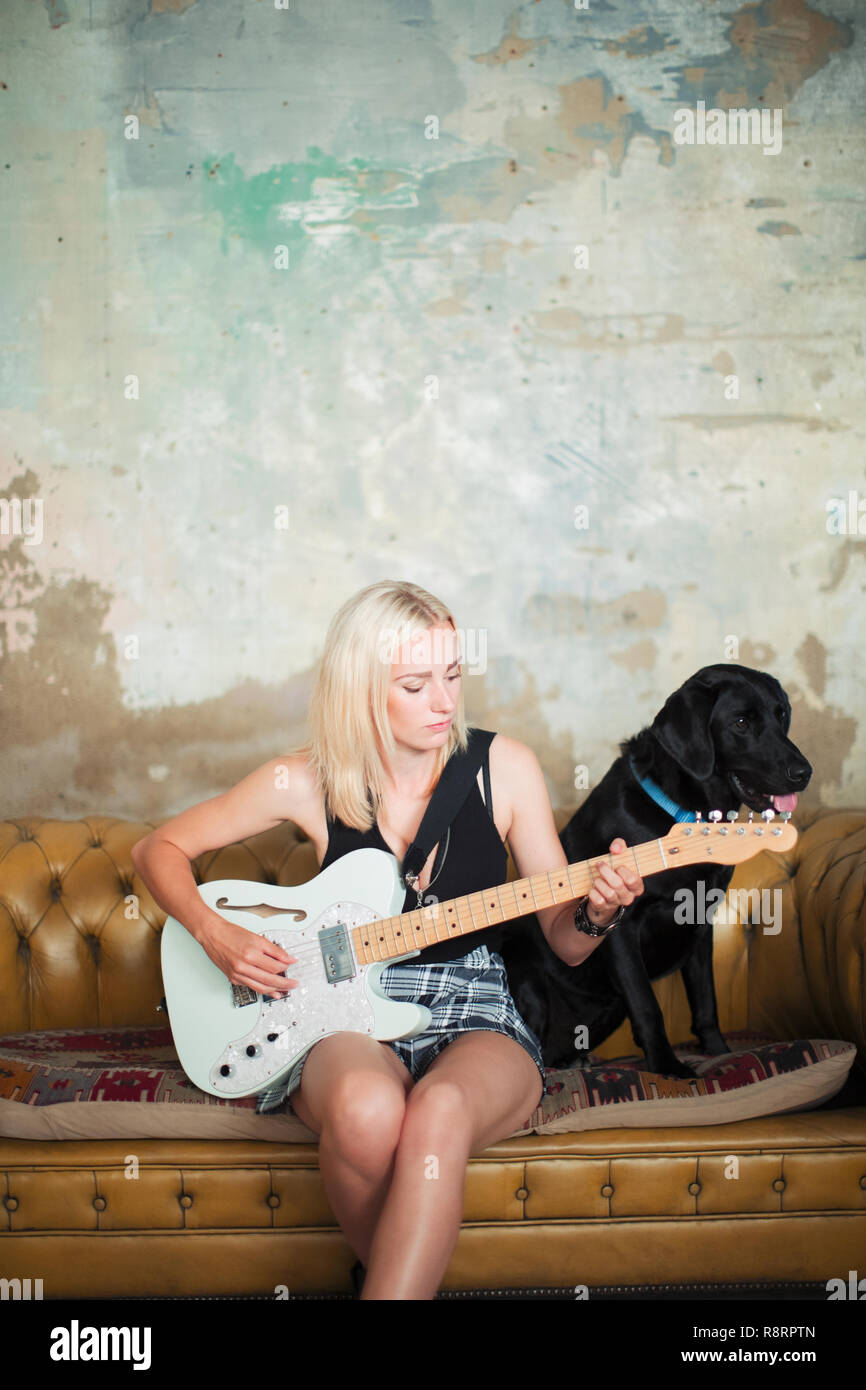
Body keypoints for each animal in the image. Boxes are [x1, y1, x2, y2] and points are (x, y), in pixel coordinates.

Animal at [500, 667, 811, 1078]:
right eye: (741, 722)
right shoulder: (620, 926)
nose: (804, 773)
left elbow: (706, 1001)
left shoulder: (700, 920)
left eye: (781, 715)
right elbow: (648, 1005)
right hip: (527, 978)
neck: (683, 812)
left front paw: (717, 1051)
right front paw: (668, 1066)